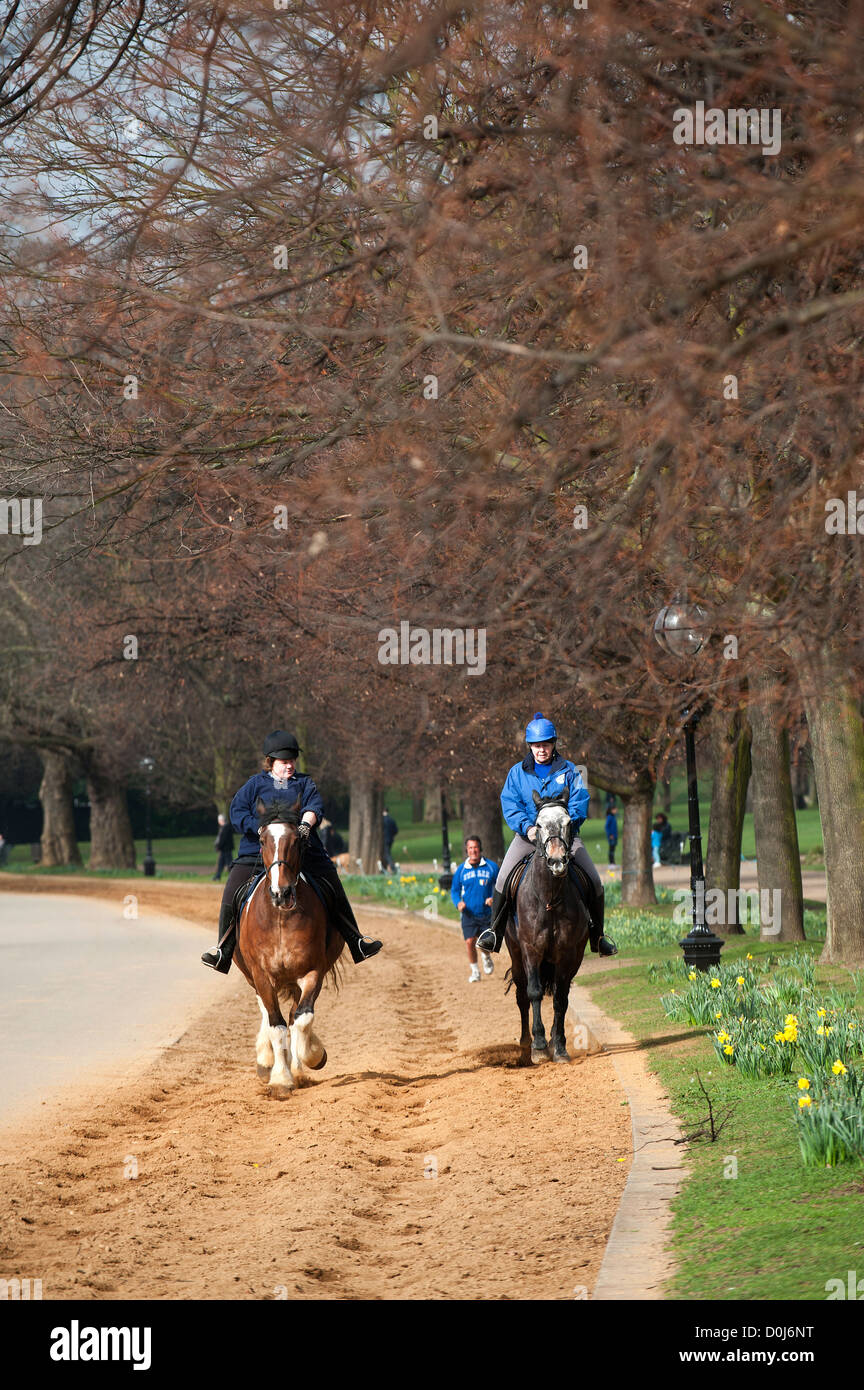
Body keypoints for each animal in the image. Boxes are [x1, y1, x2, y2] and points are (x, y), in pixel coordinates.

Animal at [234, 806, 347, 1095]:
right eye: (262, 841)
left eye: (297, 841)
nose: (281, 892)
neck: (280, 918)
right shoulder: (261, 975)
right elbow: (276, 1024)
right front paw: (280, 1078)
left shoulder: (312, 972)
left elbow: (302, 1019)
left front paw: (312, 1056)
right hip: (252, 976)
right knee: (266, 1011)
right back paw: (266, 1059)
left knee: (295, 1017)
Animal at [508, 795, 594, 1061]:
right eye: (538, 824)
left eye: (568, 822)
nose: (557, 861)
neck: (548, 897)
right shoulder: (531, 950)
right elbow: (534, 993)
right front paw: (538, 1045)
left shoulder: (567, 954)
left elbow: (560, 999)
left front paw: (559, 1046)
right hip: (516, 956)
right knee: (522, 996)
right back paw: (526, 1043)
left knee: (559, 993)